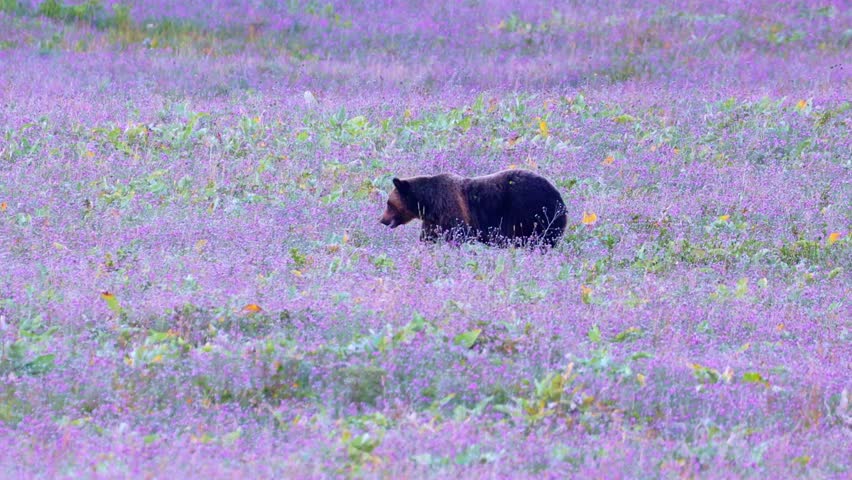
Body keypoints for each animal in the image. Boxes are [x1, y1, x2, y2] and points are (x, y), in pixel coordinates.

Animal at [379, 169, 567, 248]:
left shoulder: (452, 208)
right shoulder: (434, 220)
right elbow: (429, 236)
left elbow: (458, 234)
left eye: (389, 203)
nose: (382, 220)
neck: (429, 203)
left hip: (530, 212)